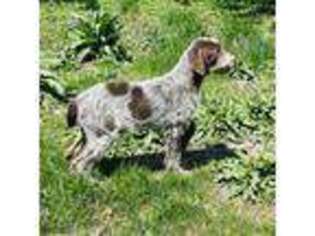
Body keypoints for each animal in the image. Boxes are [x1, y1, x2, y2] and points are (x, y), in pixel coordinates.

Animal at [66, 36, 235, 173]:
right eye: (216, 51)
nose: (234, 59)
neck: (185, 81)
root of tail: (78, 100)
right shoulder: (175, 127)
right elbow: (174, 154)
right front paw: (177, 171)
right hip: (102, 137)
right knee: (80, 163)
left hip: (89, 136)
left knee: (74, 159)